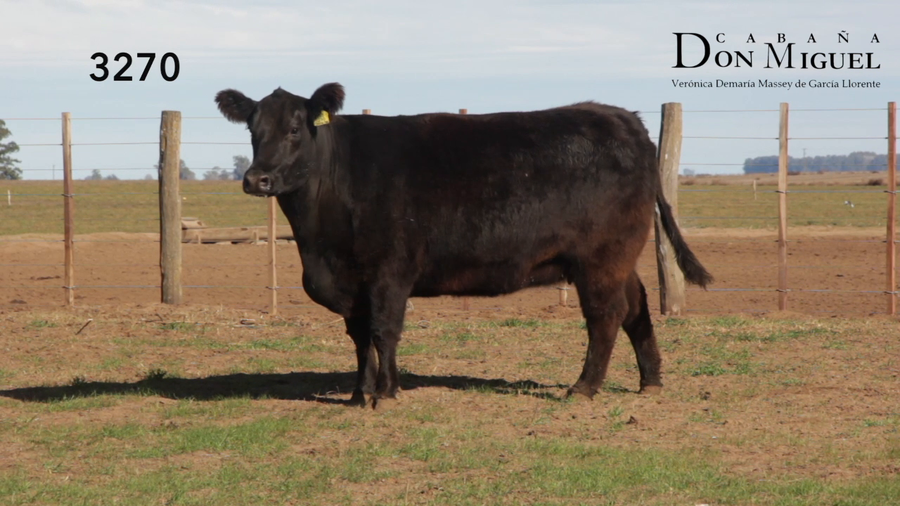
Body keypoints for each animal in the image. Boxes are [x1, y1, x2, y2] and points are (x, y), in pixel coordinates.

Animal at [215, 83, 712, 408]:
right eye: (253, 130)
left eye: (295, 129)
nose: (257, 179)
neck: (320, 241)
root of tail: (621, 117)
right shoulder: (349, 280)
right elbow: (358, 336)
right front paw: (359, 392)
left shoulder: (389, 271)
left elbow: (384, 330)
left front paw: (386, 393)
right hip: (616, 257)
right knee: (636, 305)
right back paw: (650, 380)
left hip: (599, 257)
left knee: (606, 315)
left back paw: (584, 388)